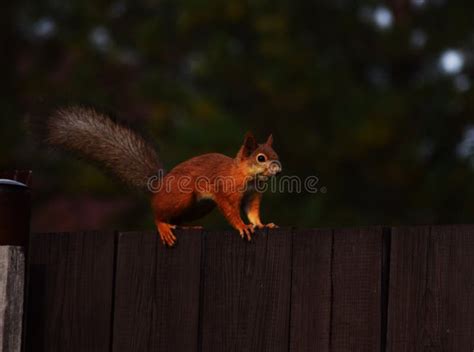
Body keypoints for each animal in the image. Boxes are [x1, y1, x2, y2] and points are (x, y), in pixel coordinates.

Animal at [44, 106, 282, 246]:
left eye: (276, 154)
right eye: (261, 158)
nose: (278, 168)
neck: (246, 175)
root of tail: (158, 187)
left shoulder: (252, 196)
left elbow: (252, 212)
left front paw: (262, 225)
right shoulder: (226, 191)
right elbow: (232, 211)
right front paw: (242, 227)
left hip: (199, 207)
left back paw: (186, 228)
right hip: (182, 196)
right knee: (158, 214)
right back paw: (163, 227)